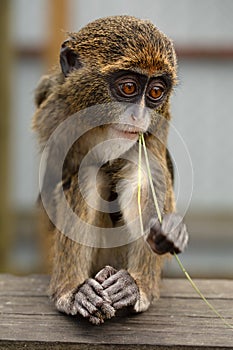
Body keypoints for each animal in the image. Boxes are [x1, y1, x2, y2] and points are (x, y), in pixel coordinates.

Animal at [32, 15, 188, 324]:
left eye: (155, 92)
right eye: (128, 88)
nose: (139, 116)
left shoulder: (157, 126)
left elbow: (146, 175)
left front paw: (167, 231)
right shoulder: (54, 112)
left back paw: (135, 286)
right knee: (89, 175)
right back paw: (73, 291)